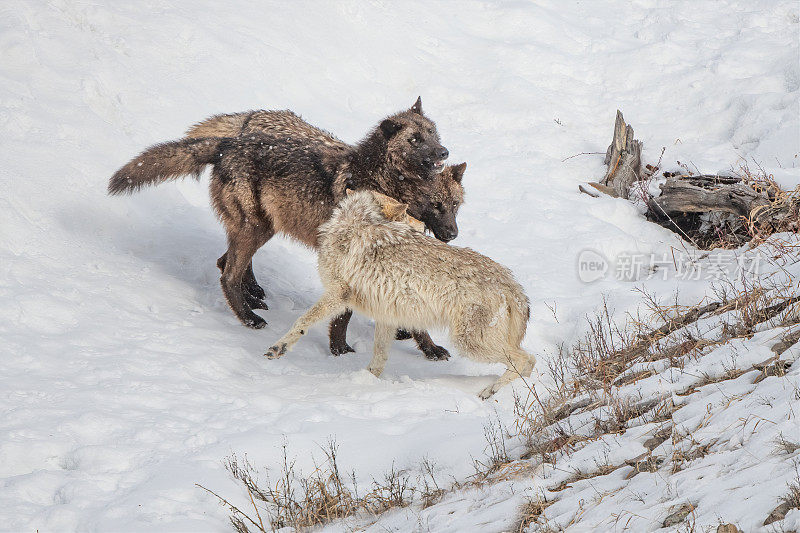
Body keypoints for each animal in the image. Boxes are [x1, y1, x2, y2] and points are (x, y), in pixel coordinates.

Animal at [109, 100, 466, 360]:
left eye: (433, 133)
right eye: (415, 140)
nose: (444, 151)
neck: (385, 184)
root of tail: (229, 142)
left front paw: (423, 345)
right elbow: (344, 316)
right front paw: (341, 352)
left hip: (261, 229)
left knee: (224, 263)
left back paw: (254, 299)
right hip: (256, 229)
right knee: (227, 273)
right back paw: (249, 318)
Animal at [266, 189, 536, 396]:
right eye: (406, 213)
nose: (422, 225)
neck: (356, 220)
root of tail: (512, 284)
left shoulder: (337, 295)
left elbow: (301, 322)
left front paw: (279, 348)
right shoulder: (387, 316)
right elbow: (379, 357)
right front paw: (365, 382)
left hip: (469, 343)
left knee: (527, 359)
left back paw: (490, 392)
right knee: (528, 363)